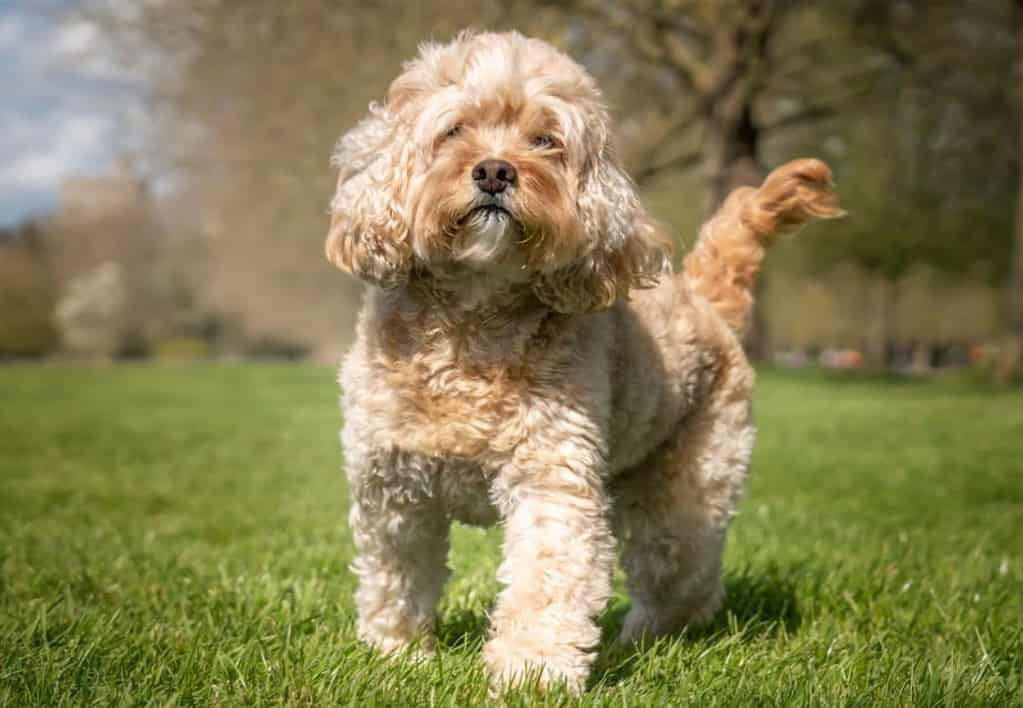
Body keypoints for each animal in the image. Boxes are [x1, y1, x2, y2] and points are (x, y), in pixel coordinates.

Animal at [325, 30, 838, 695]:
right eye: (454, 130)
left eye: (545, 139)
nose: (495, 170)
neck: (472, 325)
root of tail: (704, 298)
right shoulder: (391, 484)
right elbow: (397, 576)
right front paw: (396, 655)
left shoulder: (553, 477)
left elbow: (547, 580)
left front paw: (531, 674)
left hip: (686, 489)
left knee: (682, 575)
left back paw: (645, 638)